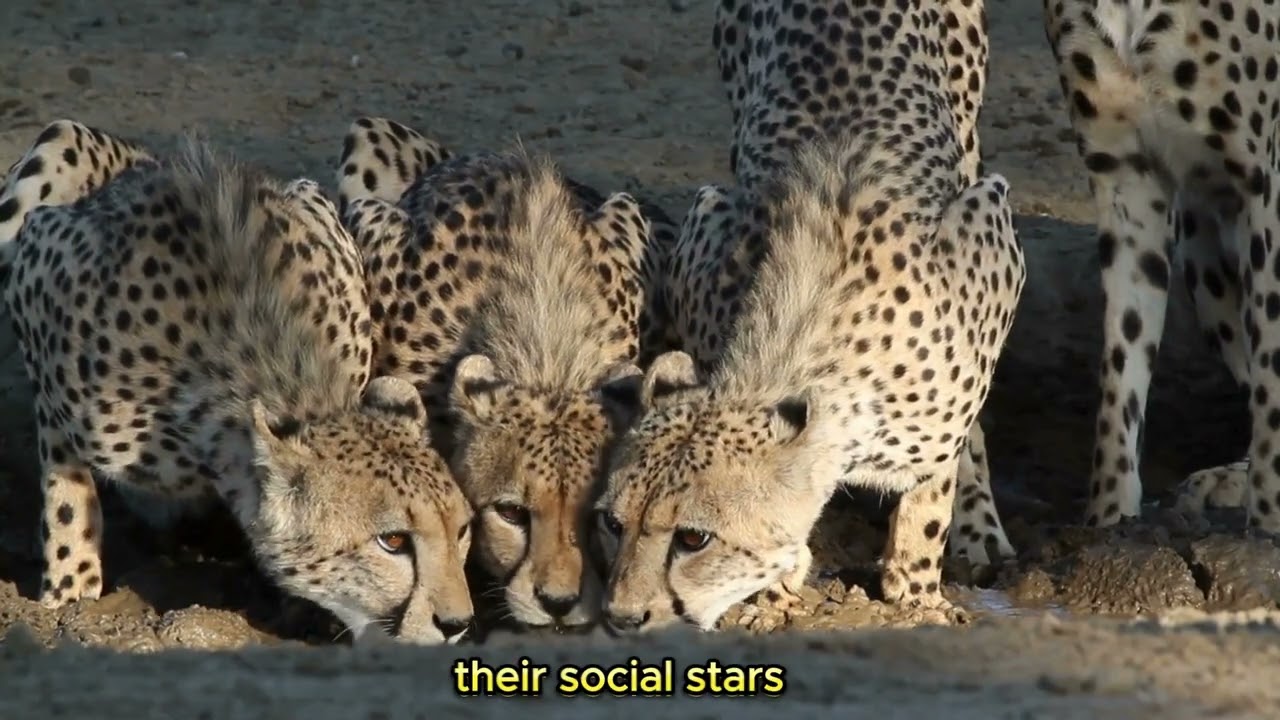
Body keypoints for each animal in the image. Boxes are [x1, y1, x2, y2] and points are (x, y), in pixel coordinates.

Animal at [0, 119, 476, 645]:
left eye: (461, 530)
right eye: (392, 540)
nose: (458, 624)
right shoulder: (37, 272)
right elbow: (67, 490)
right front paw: (68, 589)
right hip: (57, 142)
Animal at [594, 0, 1027, 635]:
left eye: (694, 538)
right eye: (613, 523)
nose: (622, 616)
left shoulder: (991, 239)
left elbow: (931, 495)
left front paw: (919, 592)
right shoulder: (709, 218)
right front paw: (774, 595)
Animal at [1044, 0, 1280, 530]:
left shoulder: (1268, 185)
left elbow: (1273, 378)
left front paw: (1267, 525)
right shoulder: (1126, 175)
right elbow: (1121, 375)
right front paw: (1109, 521)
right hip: (1197, 239)